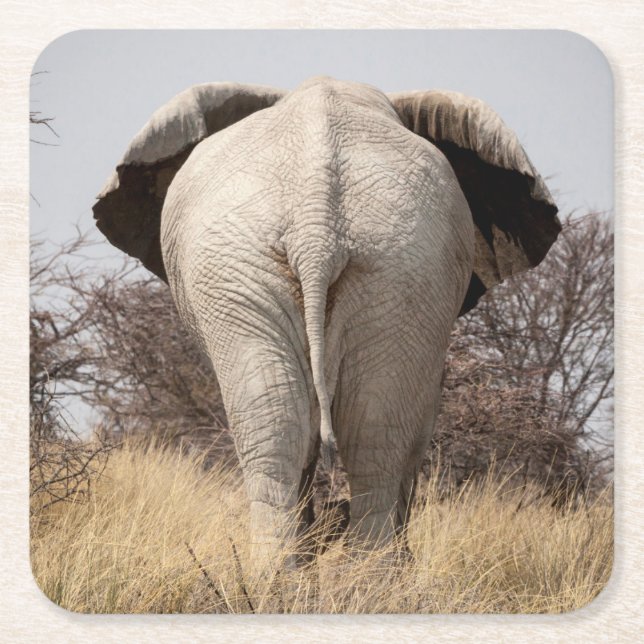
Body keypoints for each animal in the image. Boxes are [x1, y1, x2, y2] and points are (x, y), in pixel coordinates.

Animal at [93, 76, 560, 569]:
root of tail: (317, 223)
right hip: (277, 266)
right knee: (343, 427)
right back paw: (343, 575)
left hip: (385, 266)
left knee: (327, 425)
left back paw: (312, 575)